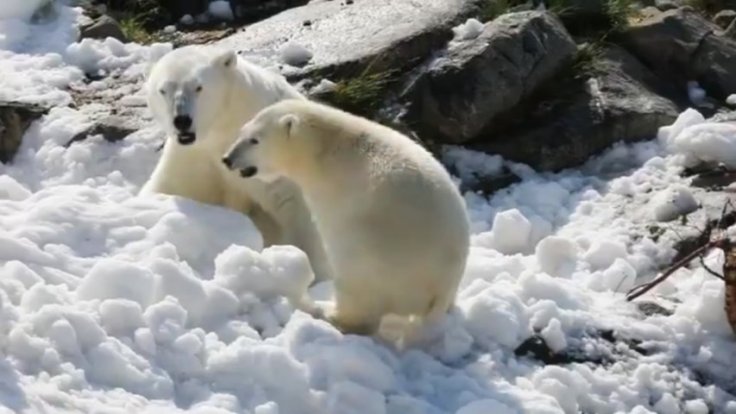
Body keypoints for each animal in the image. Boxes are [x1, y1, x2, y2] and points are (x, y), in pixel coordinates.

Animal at [139, 46, 334, 284]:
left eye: (198, 87)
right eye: (163, 90)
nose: (182, 120)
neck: (225, 125)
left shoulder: (271, 154)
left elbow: (296, 206)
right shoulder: (194, 155)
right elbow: (172, 188)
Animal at [221, 98, 472, 346]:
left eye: (255, 140)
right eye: (242, 131)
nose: (227, 159)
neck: (324, 149)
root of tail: (439, 287)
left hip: (376, 254)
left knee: (359, 292)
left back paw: (322, 310)